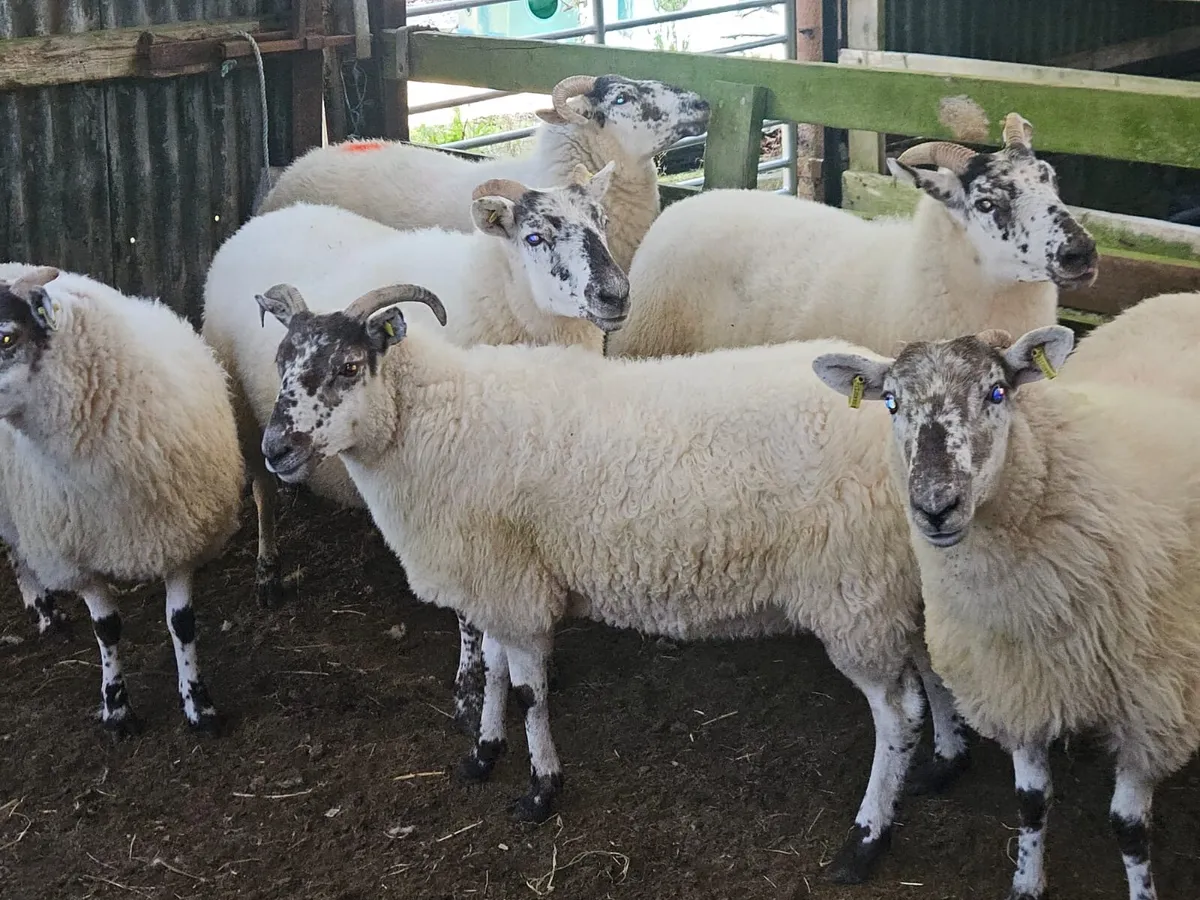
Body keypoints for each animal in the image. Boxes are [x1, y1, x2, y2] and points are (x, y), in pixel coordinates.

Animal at [0, 265, 243, 733]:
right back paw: (41, 608)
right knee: (16, 550)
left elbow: (182, 623)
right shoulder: (76, 557)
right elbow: (107, 628)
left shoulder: (179, 537)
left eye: (7, 338)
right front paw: (116, 707)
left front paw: (198, 704)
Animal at [202, 164, 629, 633]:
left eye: (603, 222)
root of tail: (253, 225)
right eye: (534, 237)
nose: (615, 294)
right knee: (261, 487)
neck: (496, 290)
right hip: (244, 412)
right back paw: (268, 570)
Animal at [252, 280, 974, 885]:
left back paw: (866, 840)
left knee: (896, 714)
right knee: (930, 669)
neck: (434, 420)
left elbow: (528, 692)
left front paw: (540, 789)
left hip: (853, 590)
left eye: (349, 367)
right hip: (895, 582)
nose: (275, 449)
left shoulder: (513, 587)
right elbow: (493, 673)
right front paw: (482, 754)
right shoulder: (500, 577)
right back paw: (944, 764)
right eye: (281, 362)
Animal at [813, 325, 1200, 900]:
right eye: (891, 402)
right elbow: (1032, 801)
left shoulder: (1152, 709)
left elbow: (1129, 828)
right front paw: (1026, 882)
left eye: (996, 392)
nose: (935, 508)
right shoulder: (1016, 685)